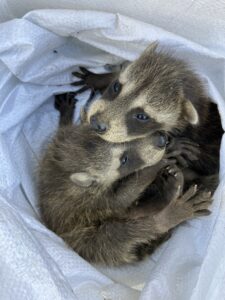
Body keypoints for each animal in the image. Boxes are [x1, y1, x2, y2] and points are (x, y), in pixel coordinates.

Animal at [37, 93, 212, 264]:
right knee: (122, 234)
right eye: (124, 160)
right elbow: (121, 198)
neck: (62, 168)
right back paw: (167, 213)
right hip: (89, 240)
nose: (162, 139)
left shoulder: (58, 143)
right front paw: (152, 167)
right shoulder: (87, 200)